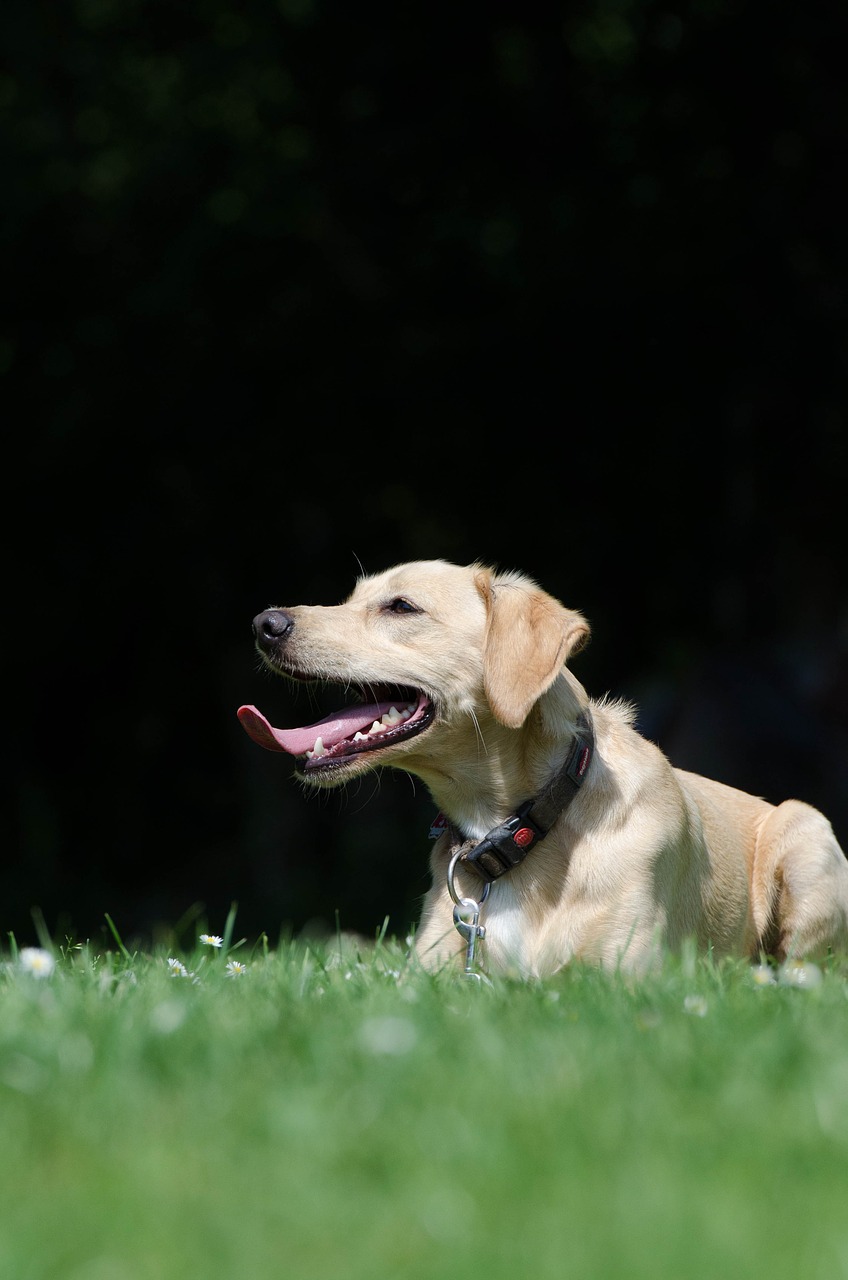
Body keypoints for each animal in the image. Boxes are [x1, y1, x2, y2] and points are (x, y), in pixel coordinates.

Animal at [236, 555, 848, 972]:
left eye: (401, 606)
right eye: (350, 598)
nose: (265, 623)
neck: (514, 832)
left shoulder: (626, 976)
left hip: (807, 831)